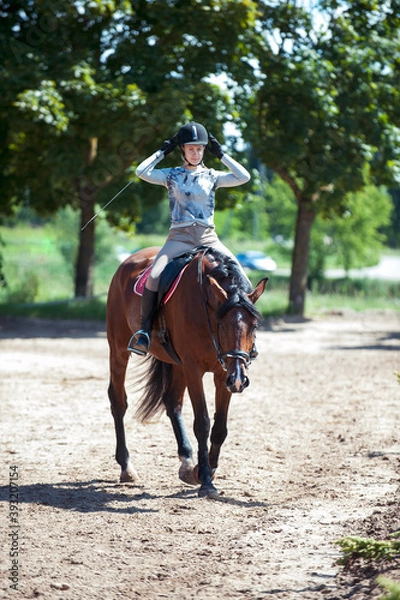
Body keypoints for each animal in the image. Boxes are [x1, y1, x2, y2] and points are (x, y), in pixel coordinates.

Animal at [107, 246, 268, 500]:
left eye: (254, 326)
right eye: (222, 325)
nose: (239, 380)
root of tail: (130, 259)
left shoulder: (223, 374)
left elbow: (220, 428)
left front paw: (202, 471)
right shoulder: (194, 368)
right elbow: (202, 423)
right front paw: (207, 483)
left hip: (177, 364)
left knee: (172, 401)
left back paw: (186, 461)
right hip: (118, 349)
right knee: (118, 401)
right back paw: (126, 467)